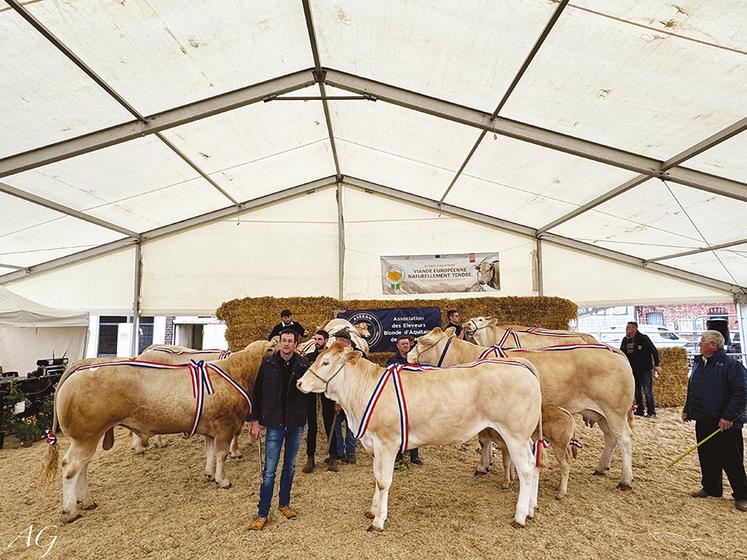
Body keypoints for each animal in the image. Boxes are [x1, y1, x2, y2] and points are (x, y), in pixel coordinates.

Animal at [298, 342, 544, 528]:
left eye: (326, 362)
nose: (300, 383)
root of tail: (520, 365)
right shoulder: (374, 443)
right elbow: (376, 478)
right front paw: (373, 510)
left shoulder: (387, 443)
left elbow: (384, 482)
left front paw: (378, 521)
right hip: (525, 436)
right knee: (535, 463)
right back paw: (531, 509)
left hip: (514, 434)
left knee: (525, 469)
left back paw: (519, 517)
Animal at [406, 328, 636, 490]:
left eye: (421, 341)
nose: (407, 356)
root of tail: (617, 352)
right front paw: (489, 464)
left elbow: (483, 440)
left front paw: (483, 466)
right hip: (602, 413)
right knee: (611, 438)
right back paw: (601, 468)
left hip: (615, 410)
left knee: (624, 440)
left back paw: (625, 480)